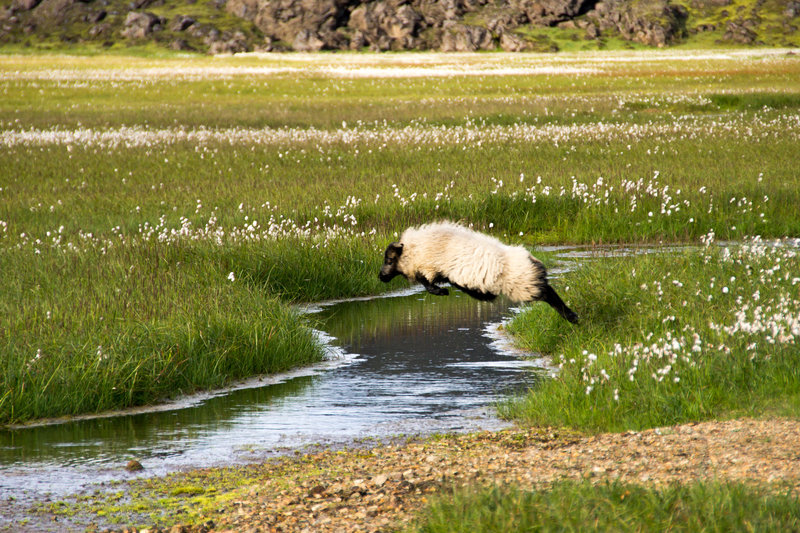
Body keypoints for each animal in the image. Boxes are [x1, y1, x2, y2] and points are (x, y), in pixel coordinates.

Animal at [378, 219, 580, 322]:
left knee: (548, 293)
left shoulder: (428, 267)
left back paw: (571, 316)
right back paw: (572, 316)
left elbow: (426, 283)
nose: (380, 277)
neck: (413, 251)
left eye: (389, 260)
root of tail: (532, 261)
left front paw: (441, 291)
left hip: (524, 285)